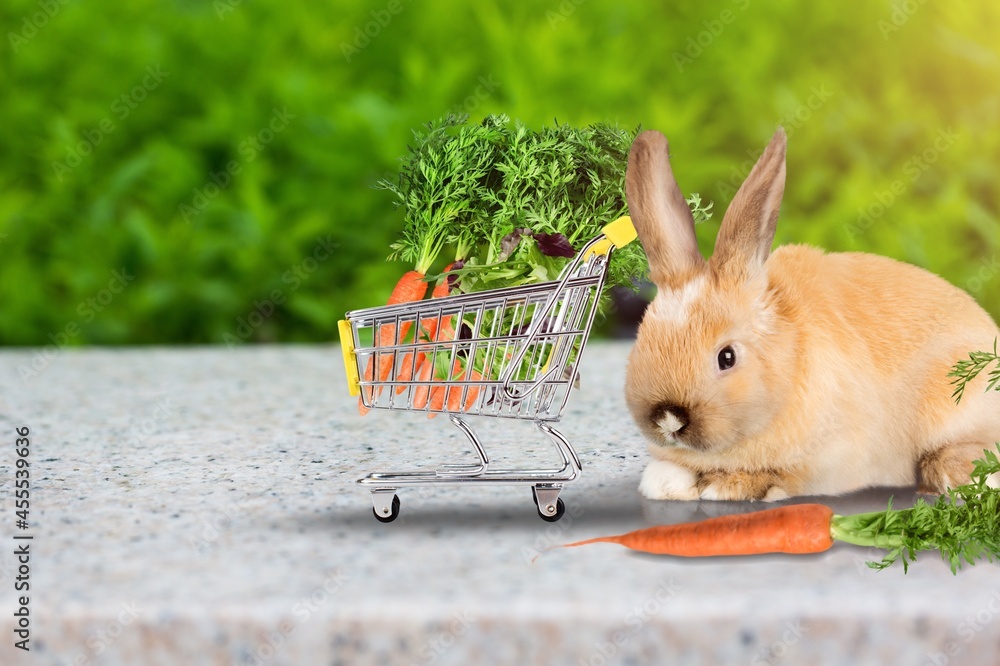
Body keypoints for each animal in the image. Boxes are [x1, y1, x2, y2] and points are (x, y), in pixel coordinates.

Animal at [624, 126, 1000, 498]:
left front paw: (728, 486)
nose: (669, 419)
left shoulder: (831, 460)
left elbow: (782, 477)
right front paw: (665, 483)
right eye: (641, 344)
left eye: (727, 357)